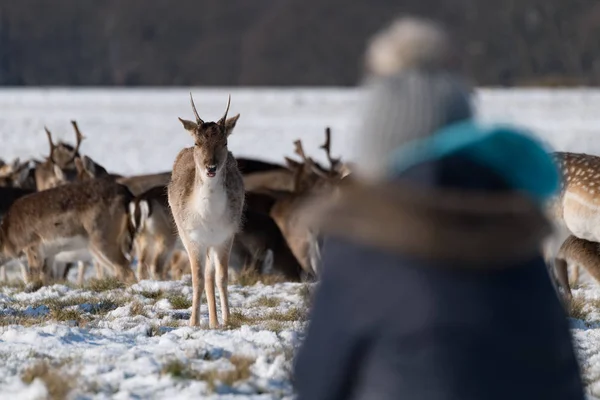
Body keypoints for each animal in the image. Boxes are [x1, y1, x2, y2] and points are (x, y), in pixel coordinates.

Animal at [166, 94, 244, 328]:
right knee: (205, 276)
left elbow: (222, 277)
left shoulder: (226, 236)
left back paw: (216, 322)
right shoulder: (192, 238)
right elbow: (197, 279)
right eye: (197, 143)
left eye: (225, 142)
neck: (208, 218)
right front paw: (193, 322)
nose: (211, 167)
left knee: (212, 275)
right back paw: (211, 321)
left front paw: (227, 320)